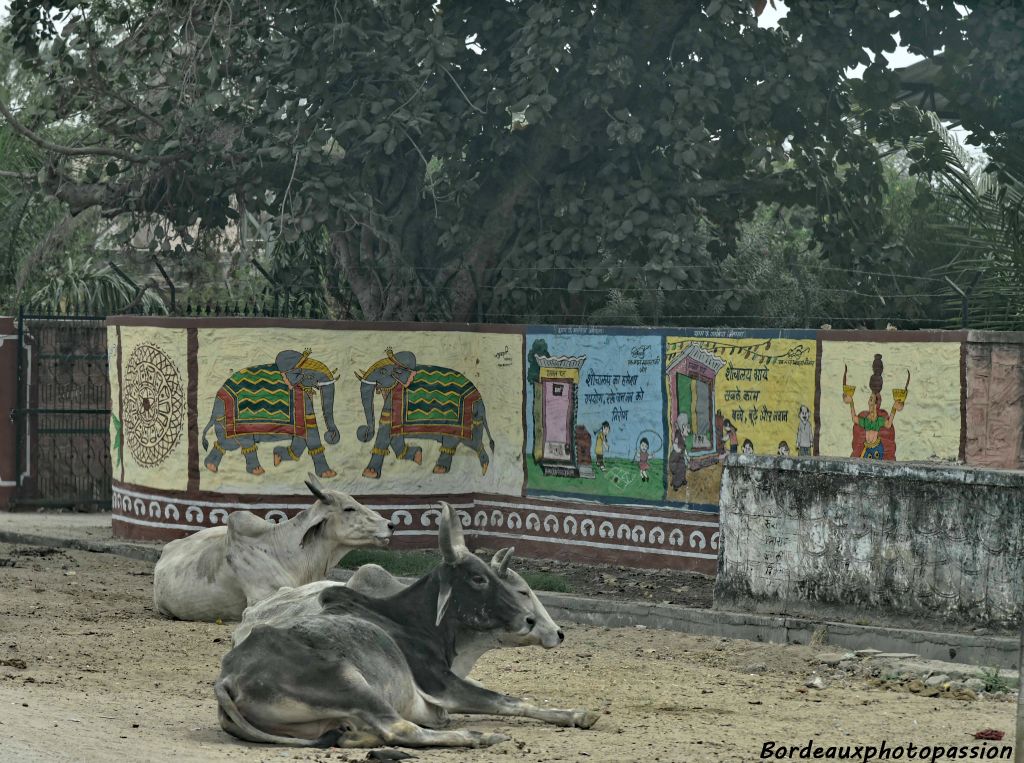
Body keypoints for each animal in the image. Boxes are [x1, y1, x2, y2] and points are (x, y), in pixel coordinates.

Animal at [216, 503, 598, 745]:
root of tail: (228, 679)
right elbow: (512, 700)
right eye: (478, 578)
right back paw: (480, 737)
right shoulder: (441, 684)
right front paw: (578, 714)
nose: (532, 620)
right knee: (401, 730)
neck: (415, 623)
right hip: (354, 683)